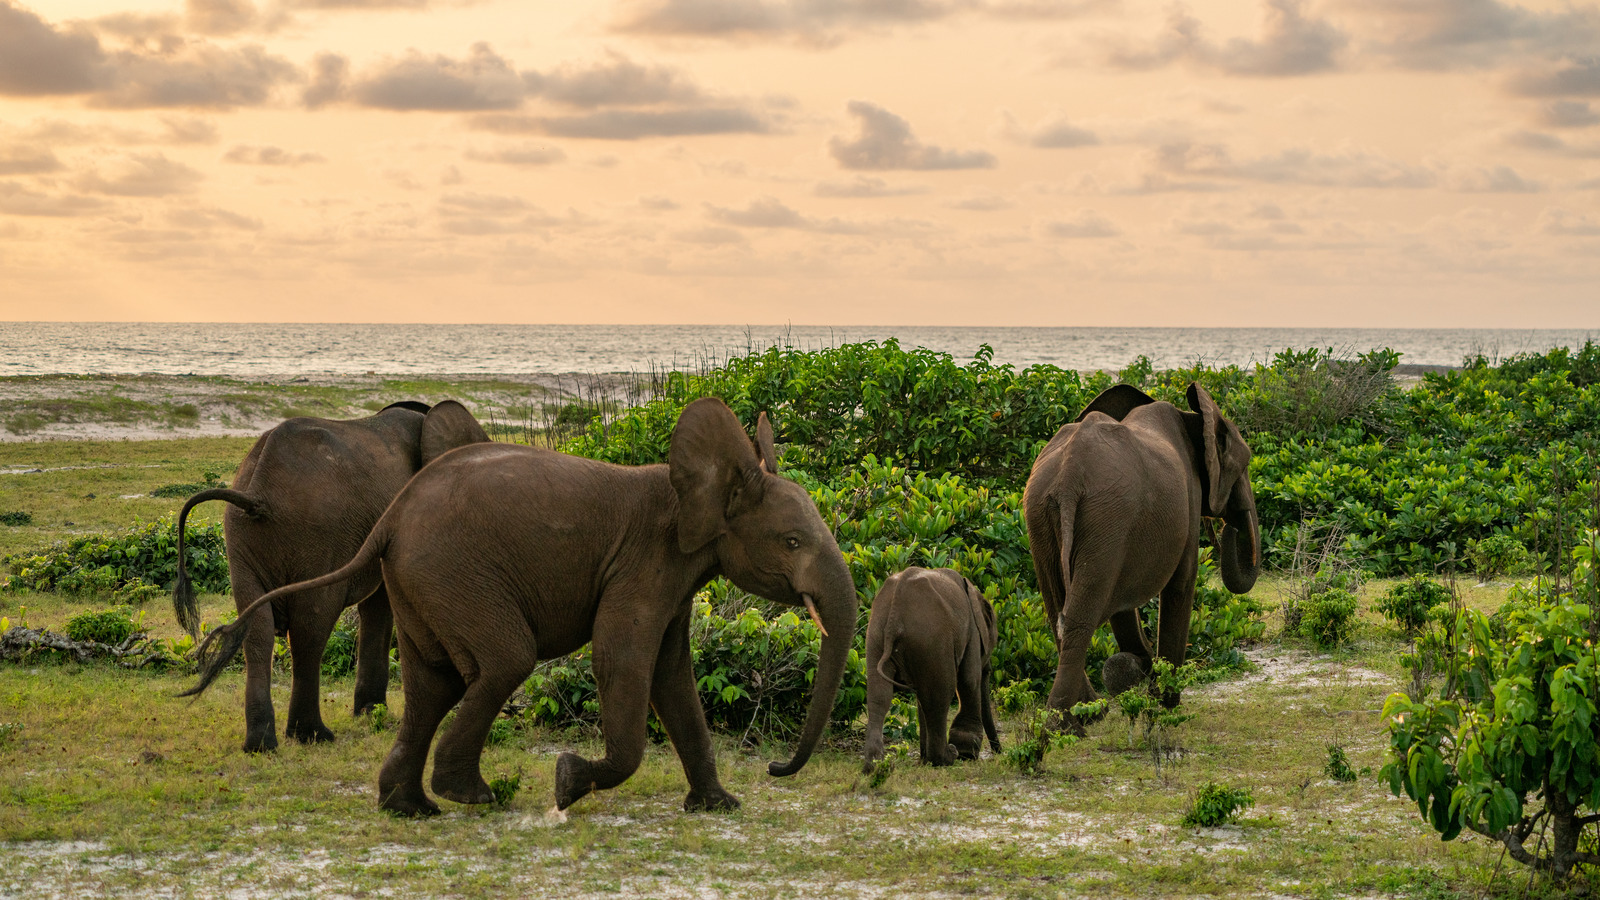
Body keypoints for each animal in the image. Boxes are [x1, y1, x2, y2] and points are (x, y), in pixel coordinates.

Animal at [170, 398, 486, 749]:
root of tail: (257, 495)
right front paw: (371, 713)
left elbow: (376, 607)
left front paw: (369, 713)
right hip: (319, 537)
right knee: (311, 628)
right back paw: (313, 735)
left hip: (240, 538)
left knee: (257, 629)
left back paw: (261, 745)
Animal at [864, 563, 998, 768]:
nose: (998, 752)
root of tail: (895, 610)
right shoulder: (972, 632)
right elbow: (969, 679)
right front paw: (967, 754)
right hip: (932, 638)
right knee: (940, 695)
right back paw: (946, 757)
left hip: (876, 633)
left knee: (880, 695)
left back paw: (874, 766)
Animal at [1024, 379, 1260, 730]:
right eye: (1244, 466)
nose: (1228, 530)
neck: (1192, 418)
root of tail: (1067, 478)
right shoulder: (1187, 500)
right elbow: (1181, 584)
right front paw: (1166, 700)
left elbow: (1123, 607)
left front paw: (1137, 672)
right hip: (1107, 517)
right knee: (1080, 618)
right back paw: (1066, 727)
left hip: (1042, 515)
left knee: (1057, 613)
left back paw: (1089, 715)